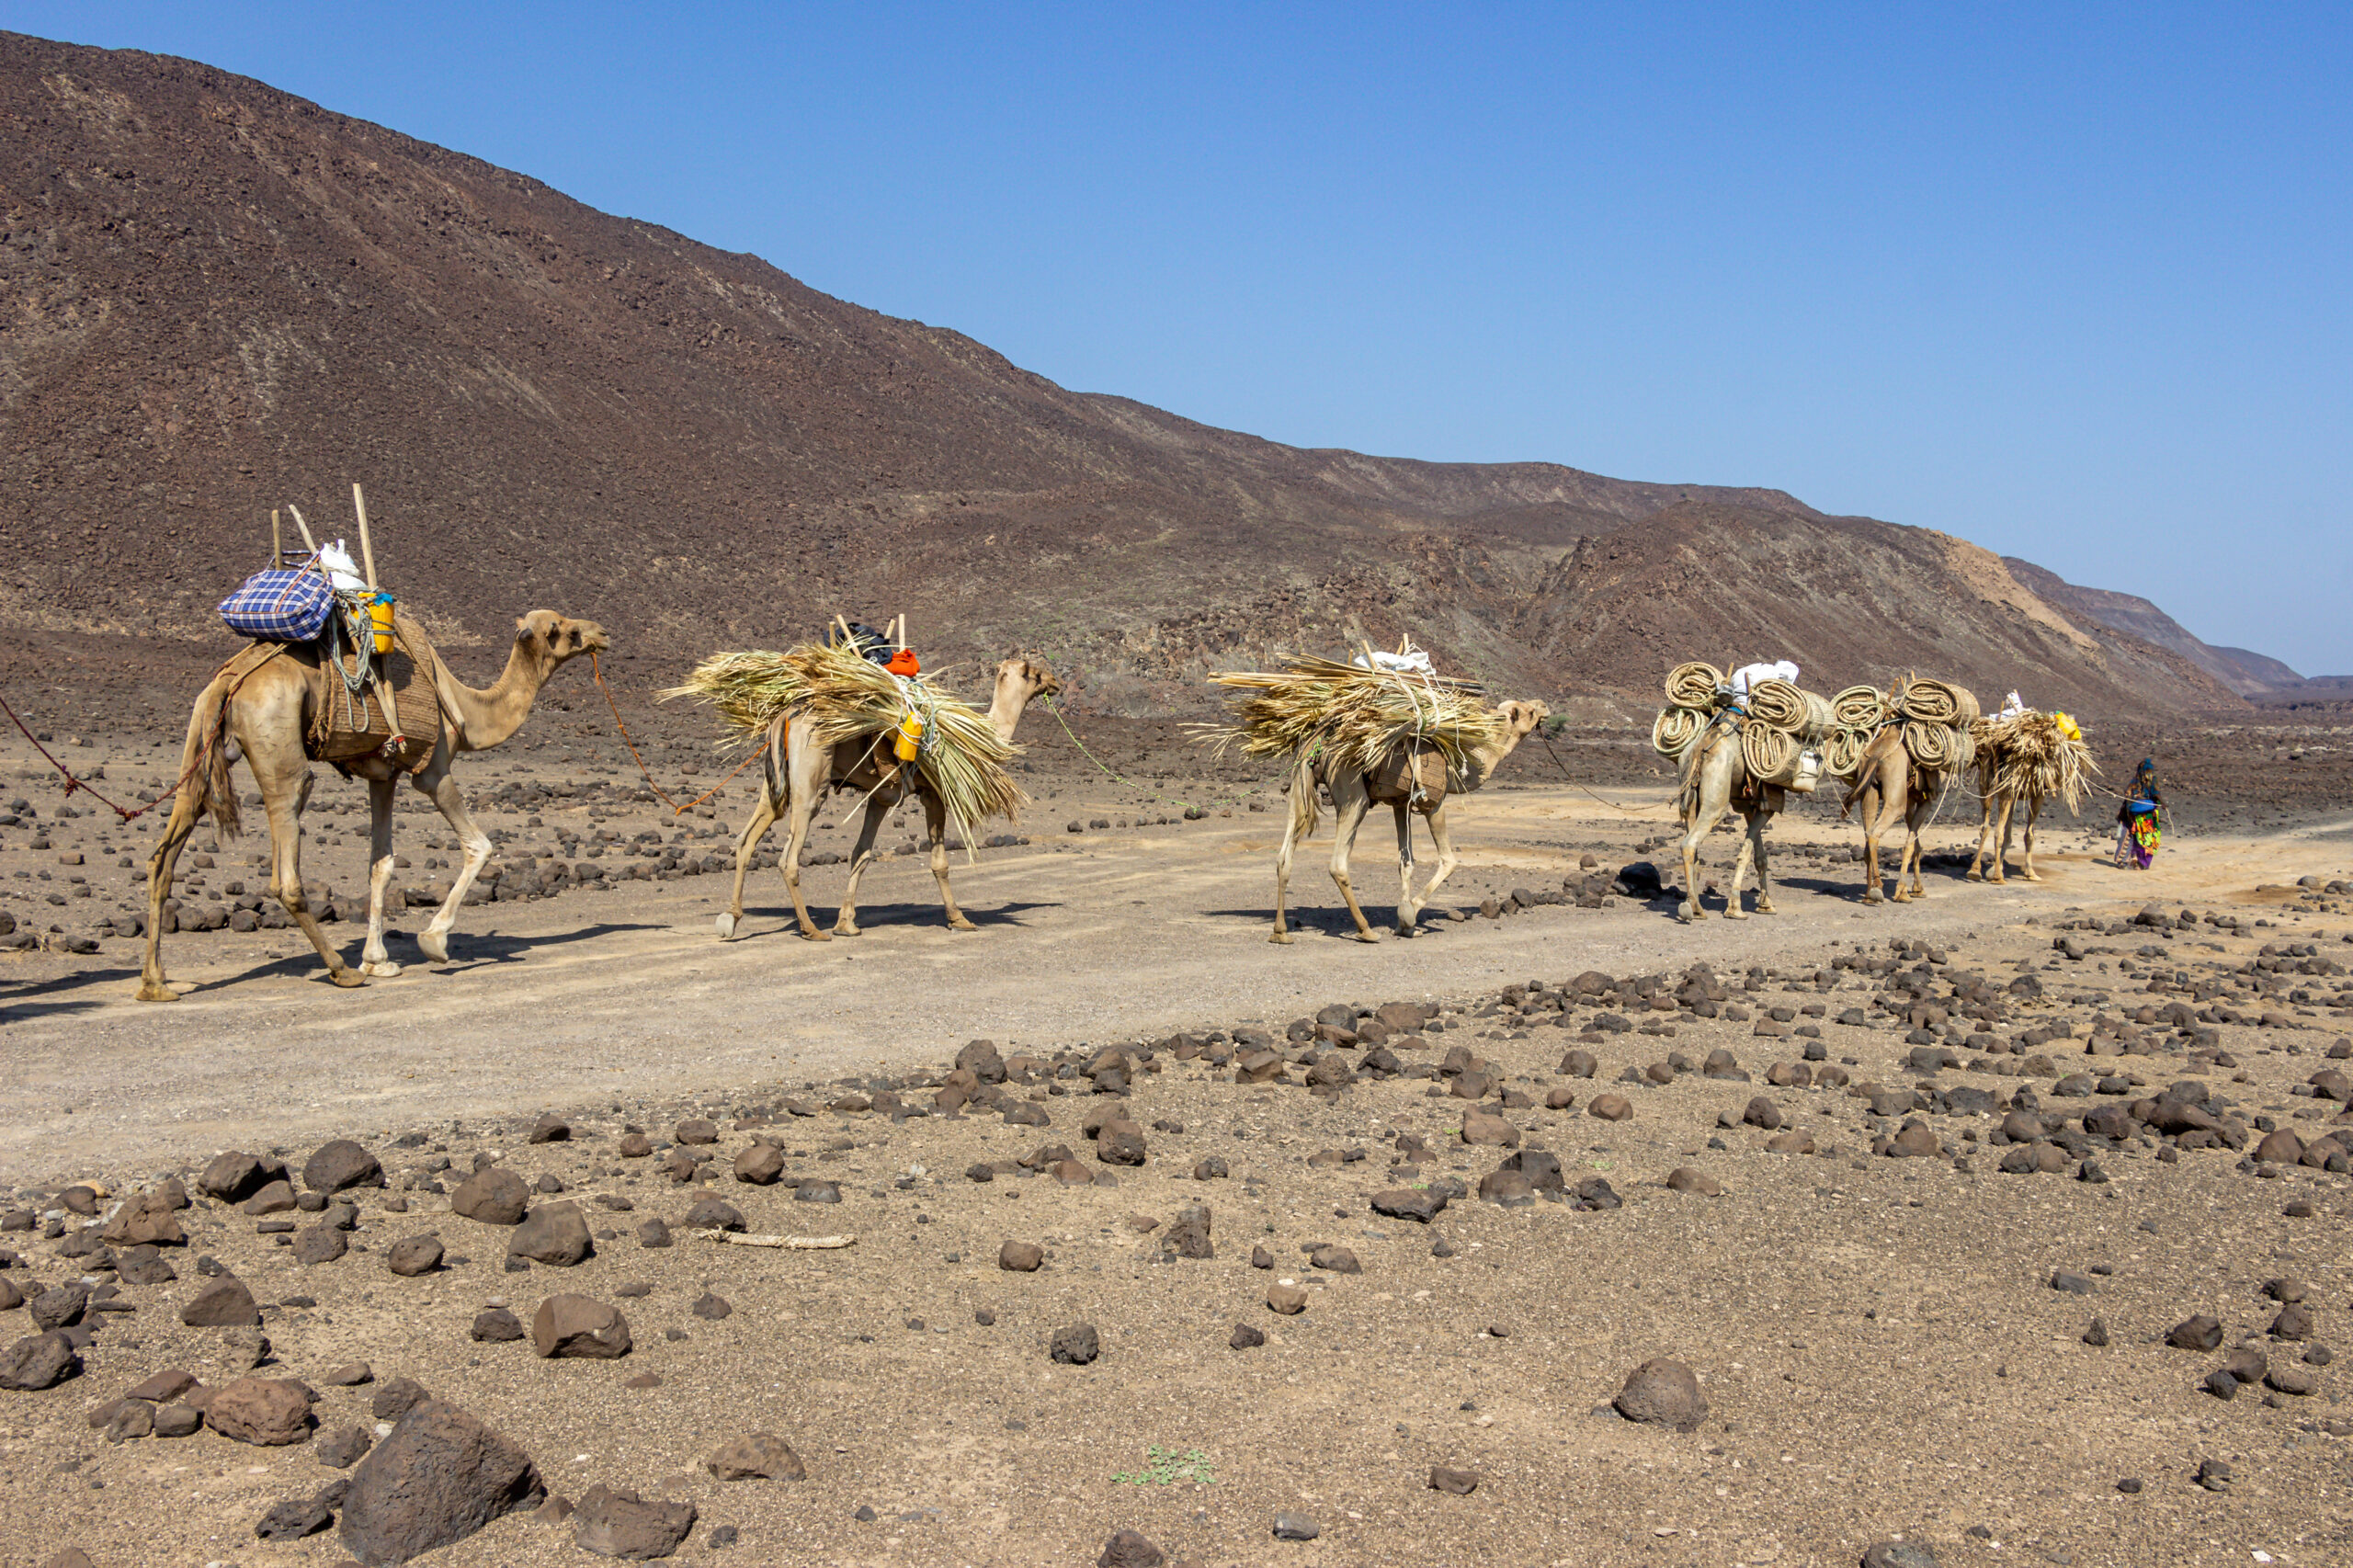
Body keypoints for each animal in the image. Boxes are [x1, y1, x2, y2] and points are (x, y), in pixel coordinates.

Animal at [134, 602, 616, 993]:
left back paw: (156, 984)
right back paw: (340, 970)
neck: (466, 707)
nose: (602, 632)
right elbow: (479, 845)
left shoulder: (382, 774)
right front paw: (433, 941)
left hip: (201, 743)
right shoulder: (432, 769)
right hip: (277, 747)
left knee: (164, 854)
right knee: (286, 866)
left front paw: (378, 960)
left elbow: (380, 865)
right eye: (563, 628)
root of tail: (231, 682)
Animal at [706, 649, 1059, 932]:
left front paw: (846, 923)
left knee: (747, 840)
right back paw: (810, 929)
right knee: (789, 858)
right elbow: (939, 863)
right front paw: (959, 918)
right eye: (1032, 672)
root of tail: (786, 716)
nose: (1055, 681)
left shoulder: (881, 796)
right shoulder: (934, 793)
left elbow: (860, 854)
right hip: (811, 779)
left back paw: (731, 918)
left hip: (775, 782)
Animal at [1270, 697, 1543, 941]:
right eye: (1529, 712)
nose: (1544, 707)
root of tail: (1320, 740)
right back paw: (1366, 931)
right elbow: (1449, 861)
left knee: (1284, 857)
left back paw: (1281, 932)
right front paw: (1408, 916)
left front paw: (1405, 927)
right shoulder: (1435, 803)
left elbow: (1406, 862)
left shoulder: (1401, 804)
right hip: (1351, 789)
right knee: (1338, 864)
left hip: (1299, 782)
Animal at [1675, 715, 1779, 923]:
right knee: (1689, 843)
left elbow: (1760, 857)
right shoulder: (1767, 805)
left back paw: (1691, 903)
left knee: (1692, 844)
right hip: (1716, 798)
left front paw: (1766, 905)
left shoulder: (1749, 806)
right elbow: (1745, 854)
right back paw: (1695, 909)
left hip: (1689, 793)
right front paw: (1735, 909)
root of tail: (1701, 748)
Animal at [1835, 724, 1948, 899]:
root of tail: (1877, 755)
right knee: (1875, 833)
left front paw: (1917, 888)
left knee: (1868, 833)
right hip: (1895, 801)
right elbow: (1911, 843)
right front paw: (1904, 891)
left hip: (1870, 793)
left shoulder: (1910, 799)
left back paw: (1869, 894)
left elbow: (1915, 842)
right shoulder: (1925, 801)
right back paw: (1877, 889)